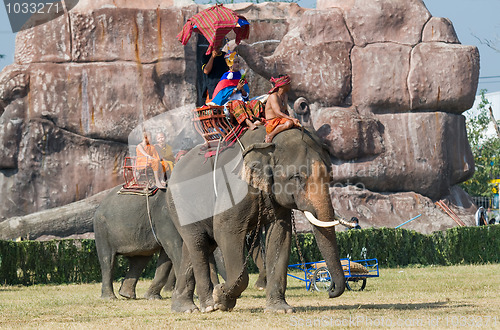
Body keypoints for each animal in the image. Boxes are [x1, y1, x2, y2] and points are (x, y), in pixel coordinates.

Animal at [166, 125, 346, 312]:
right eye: (297, 177)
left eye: (330, 177)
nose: (331, 291)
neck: (268, 143)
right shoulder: (235, 188)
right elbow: (224, 230)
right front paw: (221, 298)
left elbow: (280, 235)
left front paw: (280, 309)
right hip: (179, 205)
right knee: (198, 244)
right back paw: (209, 305)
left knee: (195, 246)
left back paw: (184, 308)